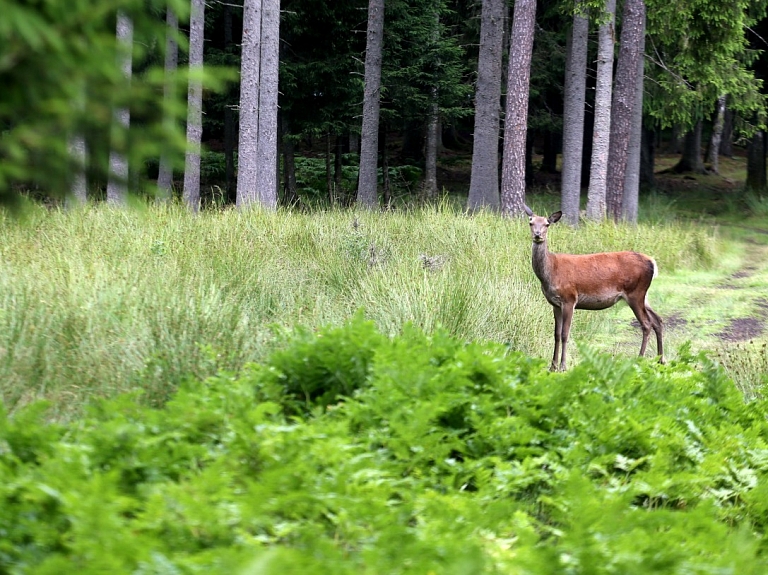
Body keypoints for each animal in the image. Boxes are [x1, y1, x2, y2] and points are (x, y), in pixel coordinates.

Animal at [524, 205, 664, 372]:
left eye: (547, 224)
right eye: (531, 222)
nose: (538, 235)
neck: (551, 272)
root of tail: (652, 262)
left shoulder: (569, 299)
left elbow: (565, 334)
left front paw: (563, 366)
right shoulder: (555, 304)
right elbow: (556, 334)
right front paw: (552, 366)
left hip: (635, 293)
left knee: (647, 324)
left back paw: (640, 359)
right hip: (644, 296)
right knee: (658, 320)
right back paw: (660, 360)